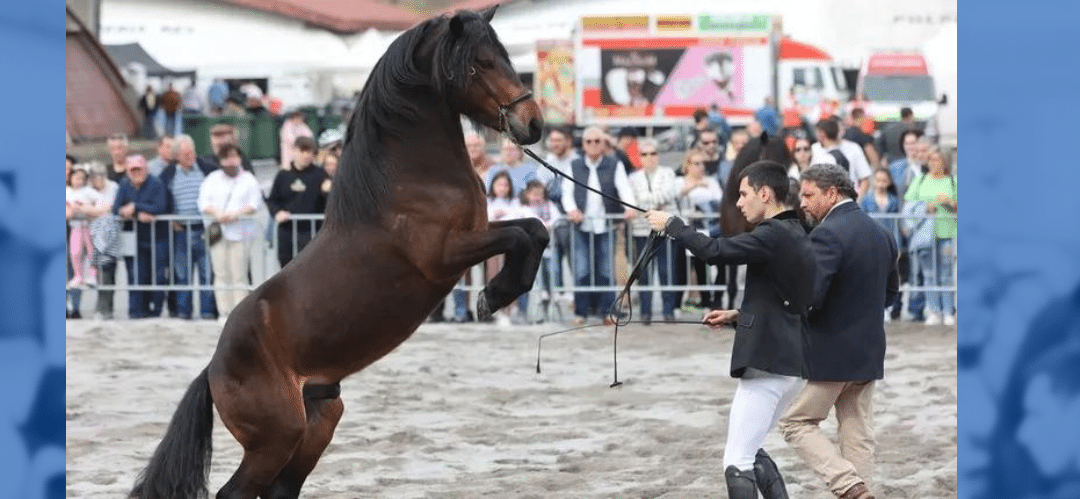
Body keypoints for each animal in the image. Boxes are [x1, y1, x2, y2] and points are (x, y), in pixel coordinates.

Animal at [129, 5, 544, 496]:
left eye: (505, 56)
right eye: (481, 62)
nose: (534, 123)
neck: (410, 180)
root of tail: (213, 370)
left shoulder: (476, 232)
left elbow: (535, 230)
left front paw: (498, 294)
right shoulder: (444, 255)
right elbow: (521, 237)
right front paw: (492, 297)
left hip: (320, 419)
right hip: (278, 437)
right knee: (236, 491)